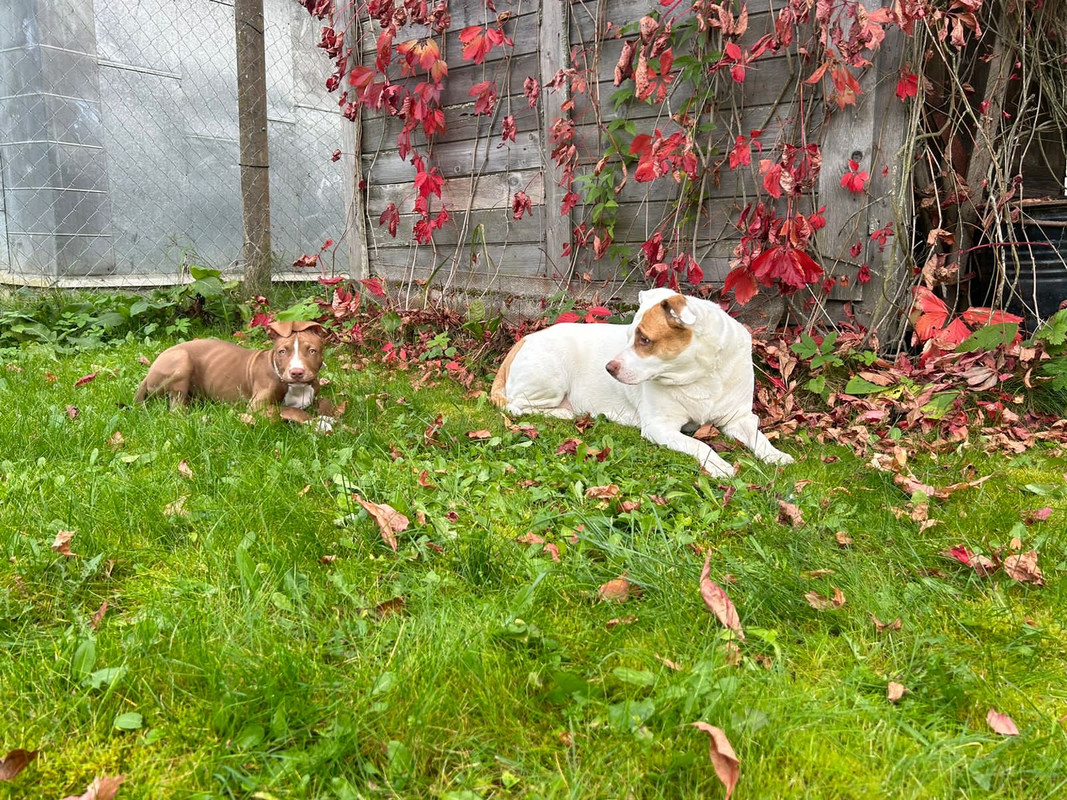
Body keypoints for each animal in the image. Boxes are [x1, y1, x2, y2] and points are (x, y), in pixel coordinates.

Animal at [134, 320, 335, 424]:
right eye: (282, 352)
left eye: (312, 351)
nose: (297, 372)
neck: (296, 387)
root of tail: (148, 373)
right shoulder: (256, 406)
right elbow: (289, 409)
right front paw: (319, 423)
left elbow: (326, 401)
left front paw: (330, 415)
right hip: (182, 359)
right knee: (176, 409)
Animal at [491, 288, 792, 476]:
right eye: (628, 336)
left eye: (644, 340)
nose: (609, 368)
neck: (701, 374)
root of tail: (523, 340)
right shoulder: (661, 427)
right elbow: (700, 445)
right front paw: (719, 465)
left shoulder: (738, 418)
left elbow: (759, 438)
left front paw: (776, 455)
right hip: (551, 379)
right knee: (515, 405)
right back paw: (565, 413)